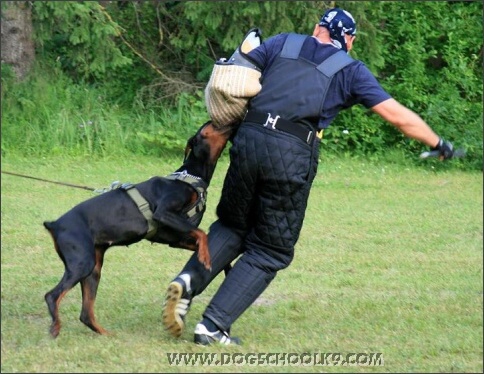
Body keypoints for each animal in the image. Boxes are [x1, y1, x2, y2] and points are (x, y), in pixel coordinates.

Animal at [42, 121, 235, 338]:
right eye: (209, 126)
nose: (229, 122)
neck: (190, 177)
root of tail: (55, 224)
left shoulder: (174, 237)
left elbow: (209, 244)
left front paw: (217, 263)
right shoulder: (164, 213)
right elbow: (202, 233)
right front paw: (206, 258)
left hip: (93, 269)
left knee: (85, 313)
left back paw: (105, 333)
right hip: (83, 262)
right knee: (52, 296)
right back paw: (56, 326)